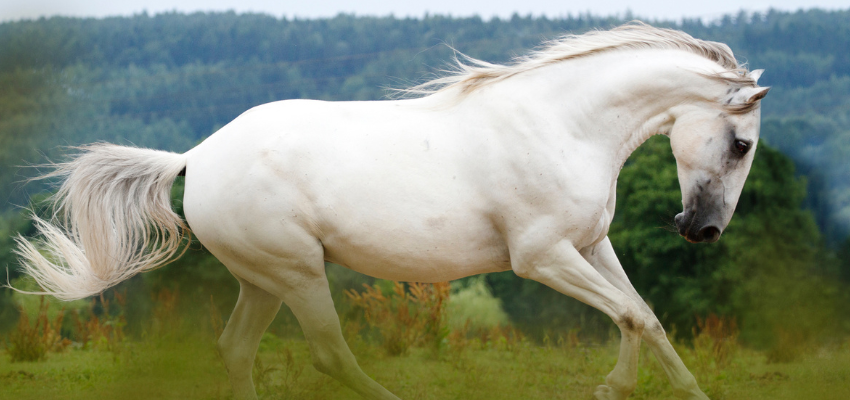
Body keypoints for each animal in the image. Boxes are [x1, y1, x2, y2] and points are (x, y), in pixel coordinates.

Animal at [13, 23, 768, 398]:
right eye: (741, 144)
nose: (702, 230)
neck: (563, 124)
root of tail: (195, 156)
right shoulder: (541, 257)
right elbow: (632, 317)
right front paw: (614, 388)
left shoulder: (588, 247)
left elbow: (647, 317)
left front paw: (679, 392)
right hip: (298, 274)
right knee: (330, 356)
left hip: (263, 281)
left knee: (236, 351)